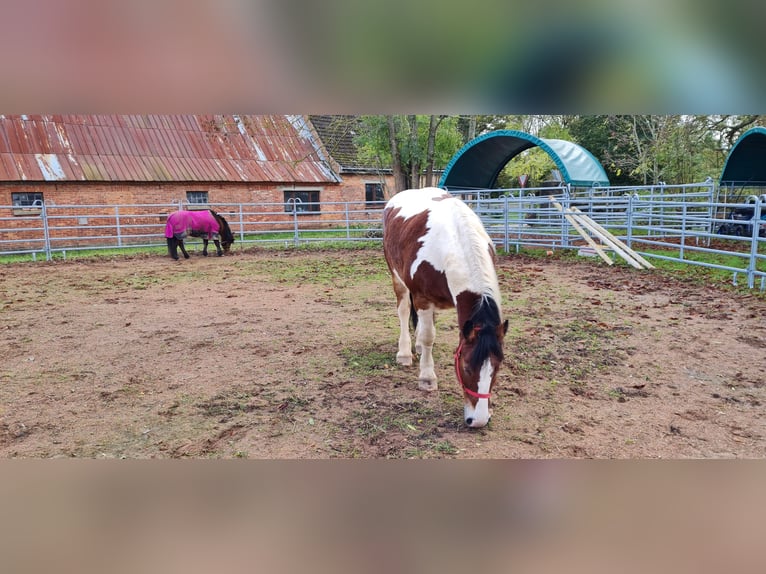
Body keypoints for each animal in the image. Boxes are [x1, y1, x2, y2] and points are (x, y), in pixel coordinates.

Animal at [384, 187, 510, 430]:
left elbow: (428, 332)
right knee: (404, 312)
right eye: (467, 367)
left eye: (497, 368)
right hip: (397, 278)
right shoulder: (422, 298)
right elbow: (428, 336)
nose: (479, 420)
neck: (453, 243)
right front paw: (427, 378)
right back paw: (405, 353)